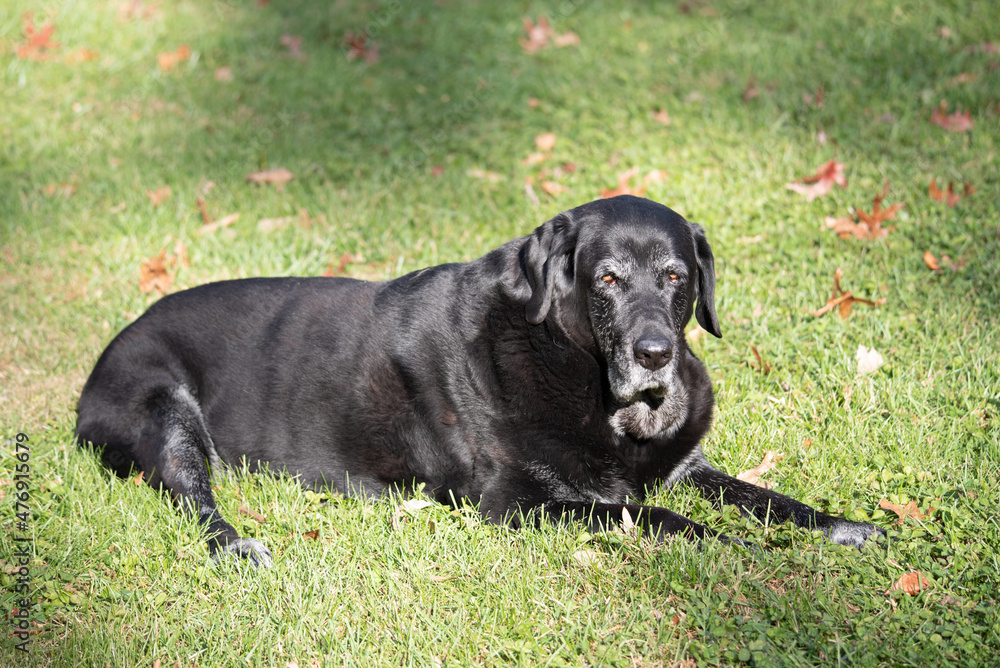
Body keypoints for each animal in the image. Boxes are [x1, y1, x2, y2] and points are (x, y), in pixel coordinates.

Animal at [74, 196, 880, 568]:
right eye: (608, 279)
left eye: (677, 276)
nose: (655, 354)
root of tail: (107, 348)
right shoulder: (516, 503)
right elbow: (653, 515)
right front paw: (743, 550)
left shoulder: (688, 465)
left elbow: (766, 497)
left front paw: (840, 524)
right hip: (165, 409)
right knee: (192, 496)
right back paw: (235, 544)